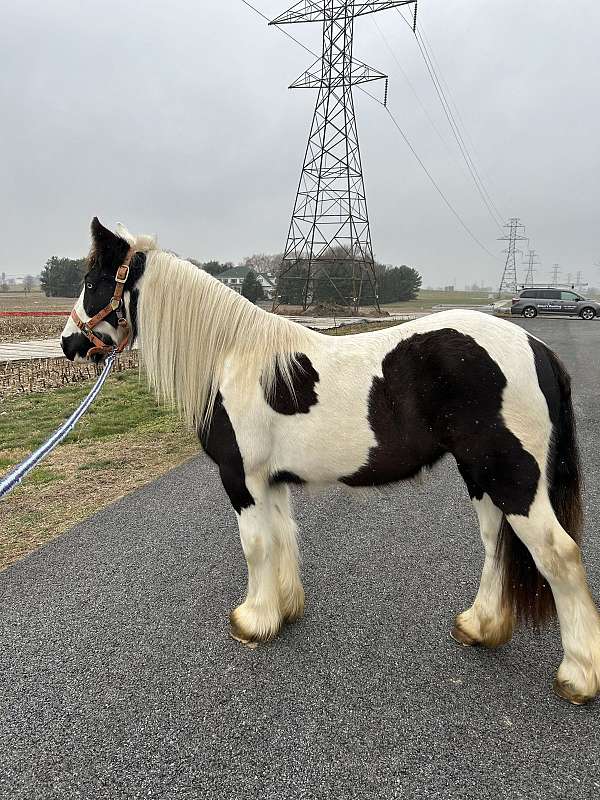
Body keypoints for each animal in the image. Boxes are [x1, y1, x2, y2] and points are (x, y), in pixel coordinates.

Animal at [61, 219, 600, 700]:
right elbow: (282, 537)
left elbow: (255, 546)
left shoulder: (242, 478)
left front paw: (253, 621)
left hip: (514, 479)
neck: (233, 356)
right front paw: (283, 610)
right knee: (497, 545)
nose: (69, 344)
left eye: (90, 282)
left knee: (558, 554)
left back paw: (577, 677)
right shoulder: (271, 480)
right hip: (482, 475)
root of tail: (537, 347)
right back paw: (479, 626)